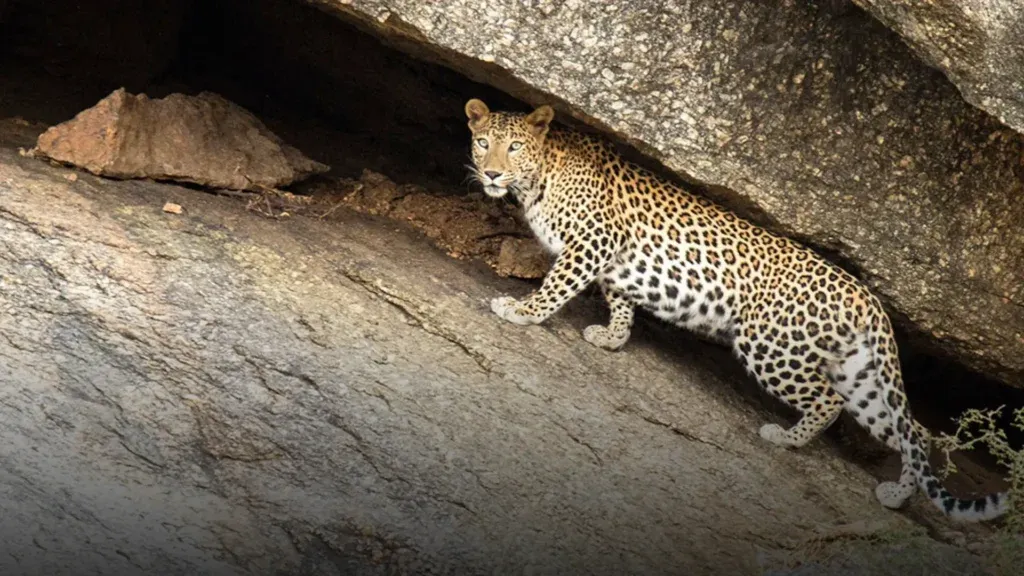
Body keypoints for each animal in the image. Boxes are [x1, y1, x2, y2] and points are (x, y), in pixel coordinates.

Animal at [463, 97, 1008, 522]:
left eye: (514, 147)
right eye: (482, 142)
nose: (491, 173)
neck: (539, 176)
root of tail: (870, 298)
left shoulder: (592, 243)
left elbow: (557, 285)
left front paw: (521, 310)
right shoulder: (612, 260)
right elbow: (619, 299)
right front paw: (613, 337)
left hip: (771, 346)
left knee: (828, 402)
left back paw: (784, 438)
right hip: (859, 373)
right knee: (911, 430)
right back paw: (896, 494)